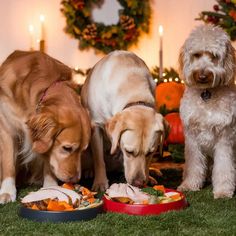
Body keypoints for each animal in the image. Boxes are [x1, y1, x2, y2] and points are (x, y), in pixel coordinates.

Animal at [0, 50, 90, 204]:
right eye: (67, 148)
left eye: (83, 150)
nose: (75, 180)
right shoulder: (6, 127)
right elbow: (8, 164)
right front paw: (7, 192)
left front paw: (50, 186)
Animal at [178, 24, 235, 198]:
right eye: (196, 55)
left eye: (214, 56)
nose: (202, 76)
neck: (206, 92)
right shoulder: (192, 138)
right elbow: (194, 165)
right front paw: (189, 185)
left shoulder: (225, 137)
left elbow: (224, 167)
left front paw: (223, 191)